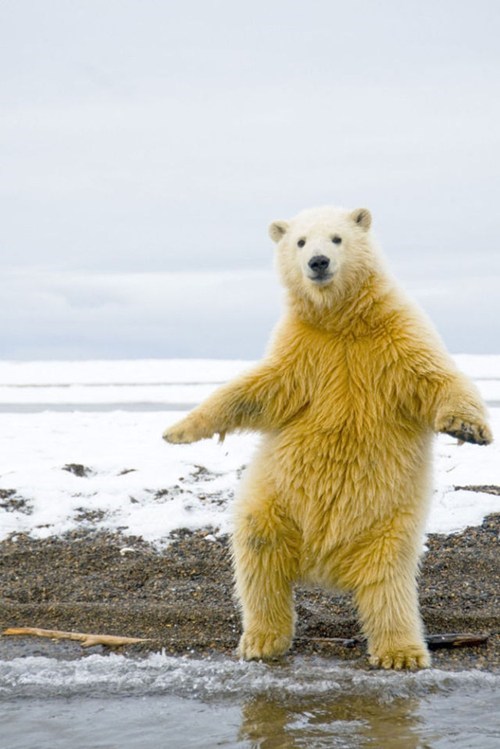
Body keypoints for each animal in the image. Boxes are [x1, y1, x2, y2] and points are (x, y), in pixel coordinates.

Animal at [163, 205, 492, 669]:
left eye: (337, 238)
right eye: (300, 241)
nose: (318, 262)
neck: (343, 322)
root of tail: (324, 566)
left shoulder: (396, 338)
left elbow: (436, 378)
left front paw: (470, 429)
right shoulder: (303, 351)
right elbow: (255, 391)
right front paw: (177, 430)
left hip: (388, 523)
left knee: (388, 581)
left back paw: (401, 651)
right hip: (276, 500)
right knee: (258, 553)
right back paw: (262, 640)